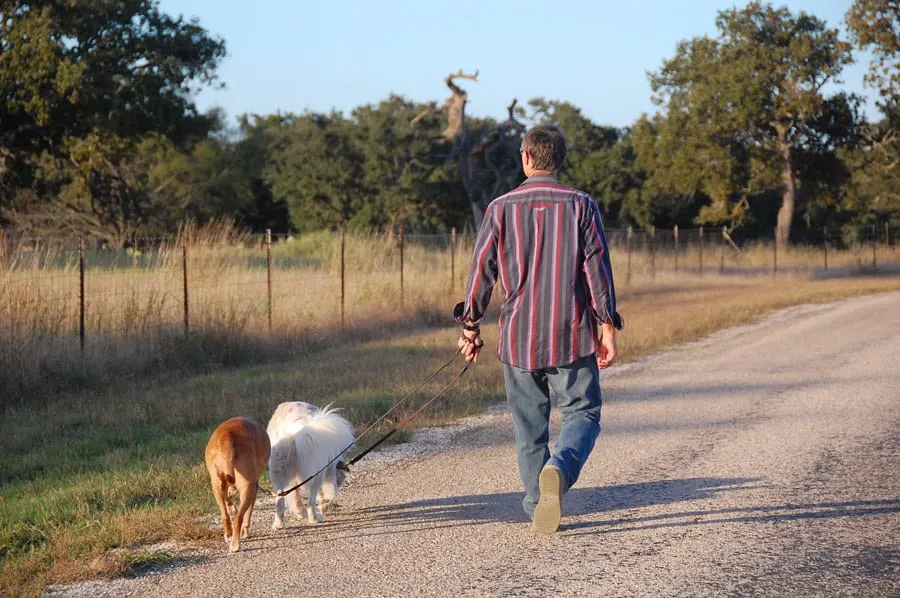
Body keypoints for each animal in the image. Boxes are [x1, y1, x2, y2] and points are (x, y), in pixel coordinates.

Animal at [205, 418, 270, 552]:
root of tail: (227, 434)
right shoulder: (254, 489)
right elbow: (248, 515)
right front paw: (245, 532)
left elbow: (228, 501)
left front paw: (231, 507)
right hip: (248, 487)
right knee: (239, 518)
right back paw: (235, 544)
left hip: (216, 484)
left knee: (225, 515)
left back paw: (229, 535)